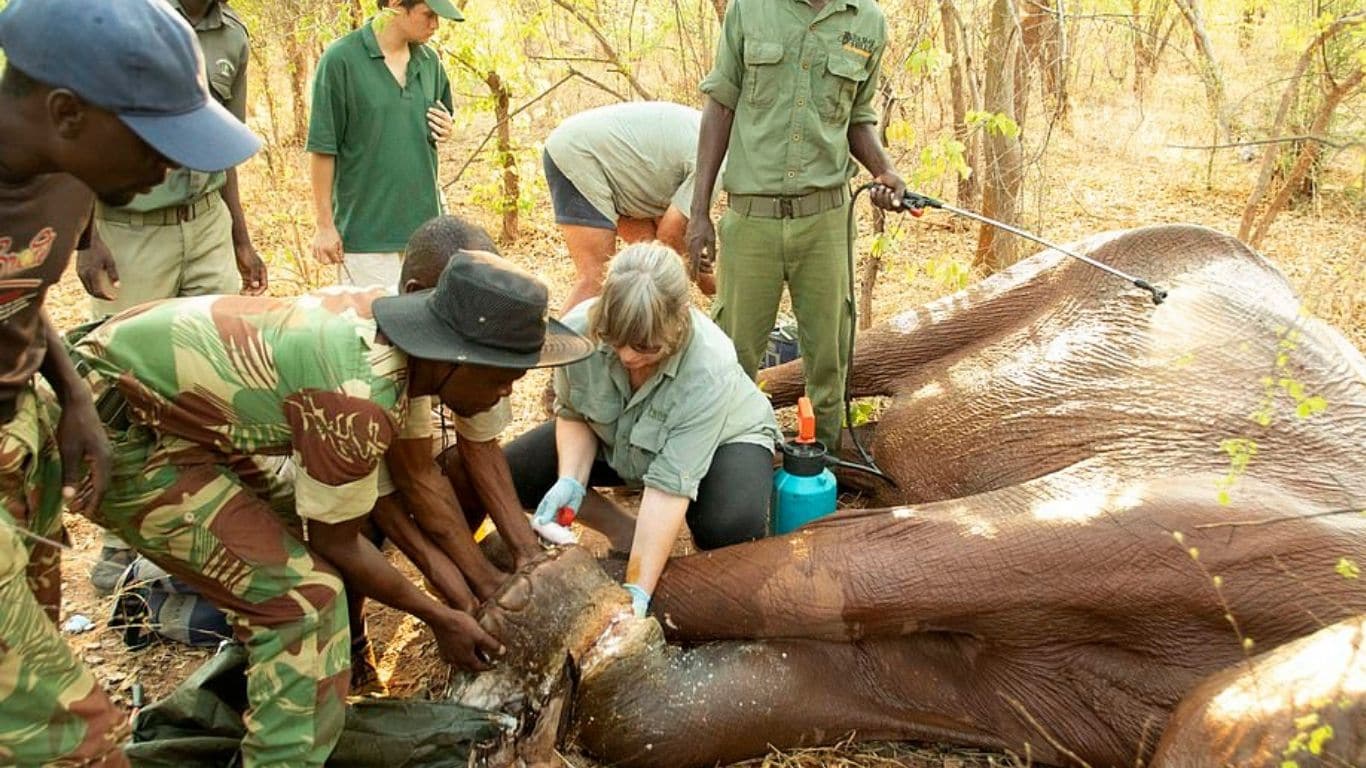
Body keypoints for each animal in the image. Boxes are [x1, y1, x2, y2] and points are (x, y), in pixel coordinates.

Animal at [450, 224, 1366, 759]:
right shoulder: (1189, 512)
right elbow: (847, 567)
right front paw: (547, 585)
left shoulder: (1048, 700)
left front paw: (554, 593)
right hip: (1071, 265)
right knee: (825, 367)